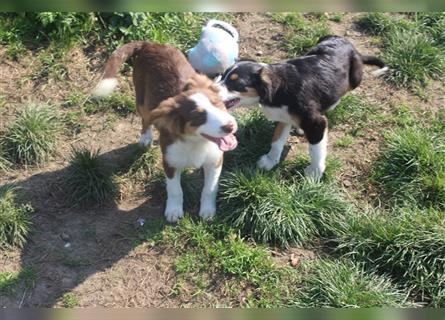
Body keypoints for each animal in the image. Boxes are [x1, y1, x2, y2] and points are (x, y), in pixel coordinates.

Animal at [92, 42, 238, 222]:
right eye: (198, 117)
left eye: (217, 103)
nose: (230, 126)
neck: (196, 142)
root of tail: (149, 43)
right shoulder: (170, 163)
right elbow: (175, 190)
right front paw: (174, 211)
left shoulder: (215, 161)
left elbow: (209, 189)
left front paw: (208, 211)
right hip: (142, 99)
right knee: (145, 119)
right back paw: (145, 138)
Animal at [219, 35, 388, 180]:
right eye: (222, 76)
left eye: (236, 83)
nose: (212, 90)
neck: (279, 89)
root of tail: (348, 43)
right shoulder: (283, 117)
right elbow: (276, 141)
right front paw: (269, 161)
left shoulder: (316, 123)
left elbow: (316, 150)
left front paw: (314, 174)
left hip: (355, 78)